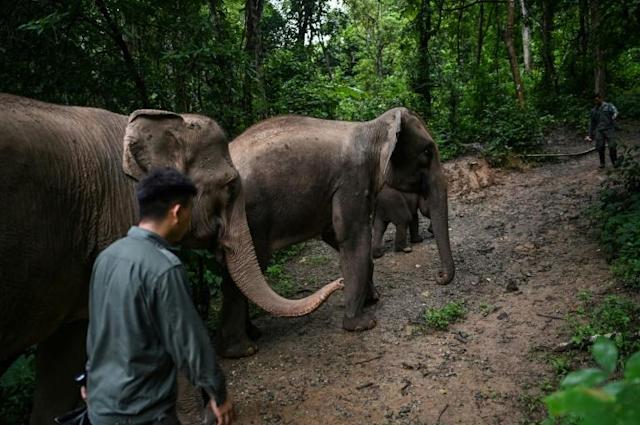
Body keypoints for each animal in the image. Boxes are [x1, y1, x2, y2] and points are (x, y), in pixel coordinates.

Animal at [220, 107, 456, 356]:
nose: (439, 277)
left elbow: (333, 234)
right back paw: (242, 349)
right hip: (250, 218)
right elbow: (352, 237)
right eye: (427, 151)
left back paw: (251, 335)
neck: (373, 128)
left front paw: (372, 298)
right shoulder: (351, 181)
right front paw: (362, 324)